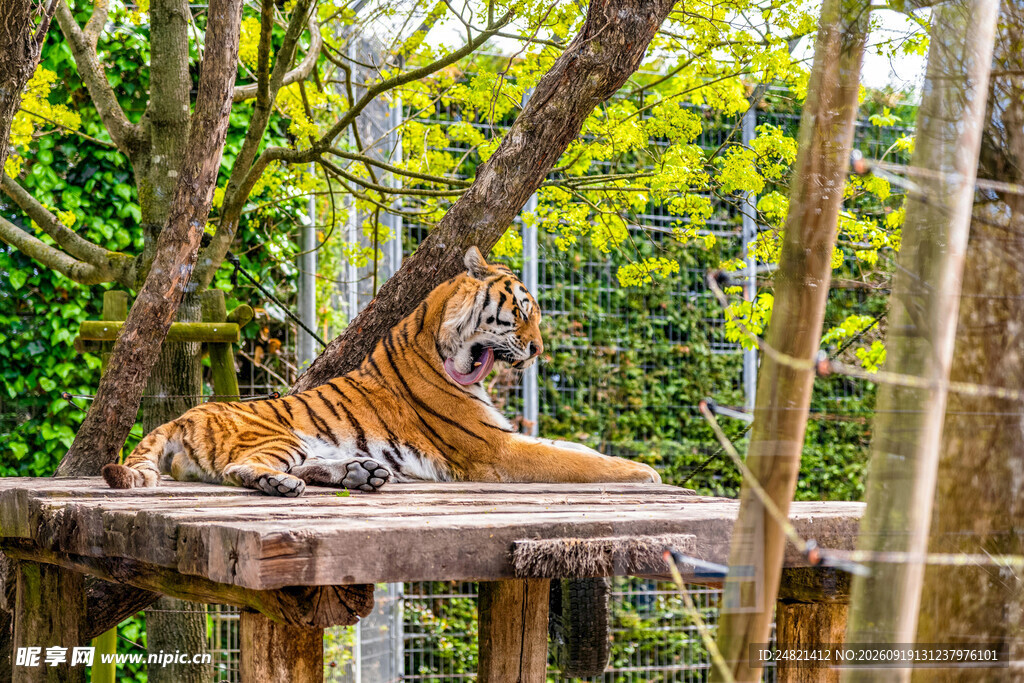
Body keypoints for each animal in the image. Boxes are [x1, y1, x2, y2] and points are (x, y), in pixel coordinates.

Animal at [102, 247, 661, 497]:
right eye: (523, 311)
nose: (539, 349)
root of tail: (181, 417)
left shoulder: (502, 436)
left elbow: (576, 449)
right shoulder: (494, 449)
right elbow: (577, 462)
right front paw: (645, 473)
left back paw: (361, 472)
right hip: (277, 435)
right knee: (243, 469)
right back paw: (283, 484)